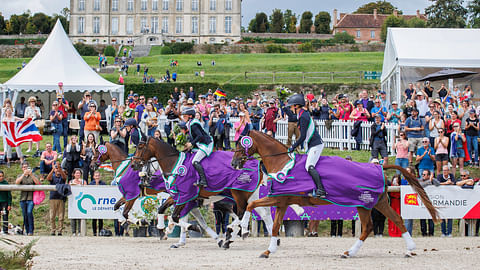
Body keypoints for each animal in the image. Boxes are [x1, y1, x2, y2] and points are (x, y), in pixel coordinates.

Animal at [131, 136, 276, 248]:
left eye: (140, 147)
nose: (134, 165)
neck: (175, 165)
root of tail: (254, 162)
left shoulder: (185, 197)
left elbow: (176, 217)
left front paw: (187, 229)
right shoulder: (181, 198)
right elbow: (163, 210)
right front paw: (164, 231)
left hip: (239, 194)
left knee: (244, 214)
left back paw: (233, 234)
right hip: (249, 194)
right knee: (260, 212)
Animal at [231, 130, 440, 258]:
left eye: (241, 144)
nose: (234, 163)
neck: (281, 163)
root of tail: (379, 166)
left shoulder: (276, 199)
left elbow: (250, 205)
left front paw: (243, 229)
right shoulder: (282, 202)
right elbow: (274, 226)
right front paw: (268, 251)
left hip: (364, 204)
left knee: (368, 227)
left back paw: (350, 252)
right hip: (377, 203)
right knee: (393, 220)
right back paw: (409, 250)